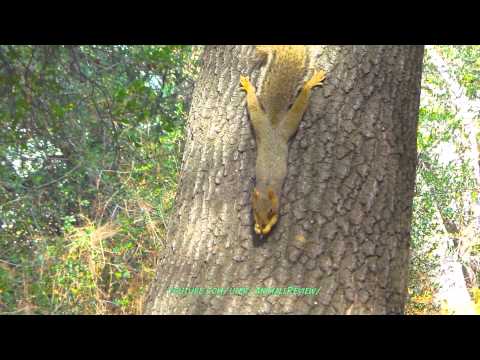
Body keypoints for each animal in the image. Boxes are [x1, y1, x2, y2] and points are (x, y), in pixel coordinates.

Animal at [240, 45, 326, 236]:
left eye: (271, 211)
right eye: (255, 210)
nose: (262, 224)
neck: (266, 187)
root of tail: (273, 125)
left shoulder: (278, 200)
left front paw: (266, 227)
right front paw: (257, 227)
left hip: (284, 126)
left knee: (298, 105)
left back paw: (310, 83)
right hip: (261, 124)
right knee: (253, 105)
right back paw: (249, 87)